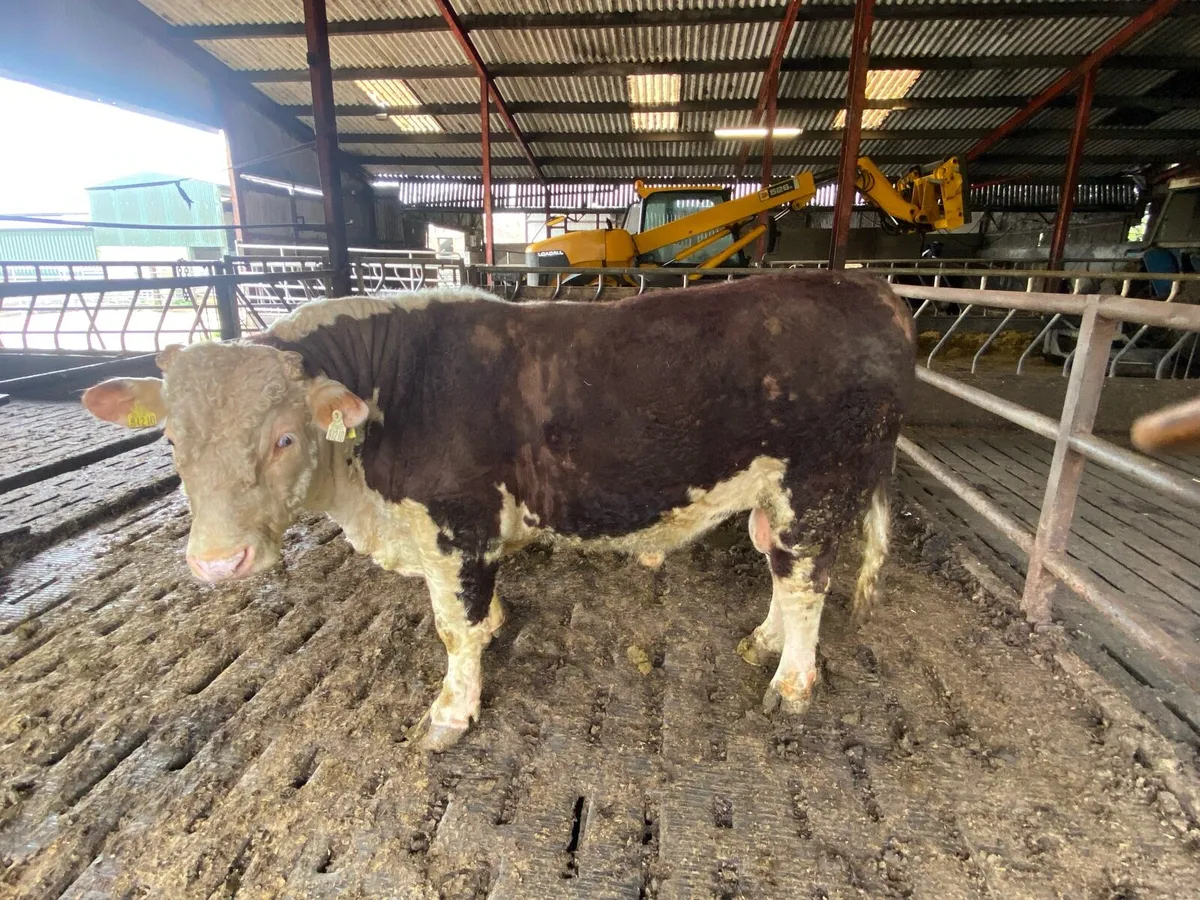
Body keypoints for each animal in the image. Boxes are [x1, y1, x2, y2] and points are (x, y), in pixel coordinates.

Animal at [81, 269, 916, 751]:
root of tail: (871, 290)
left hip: (822, 481)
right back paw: (763, 641)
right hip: (775, 490)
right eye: (171, 439)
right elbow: (477, 615)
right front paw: (494, 630)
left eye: (285, 436)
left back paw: (792, 685)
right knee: (779, 567)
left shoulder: (456, 519)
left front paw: (452, 712)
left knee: (806, 582)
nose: (219, 563)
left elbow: (453, 625)